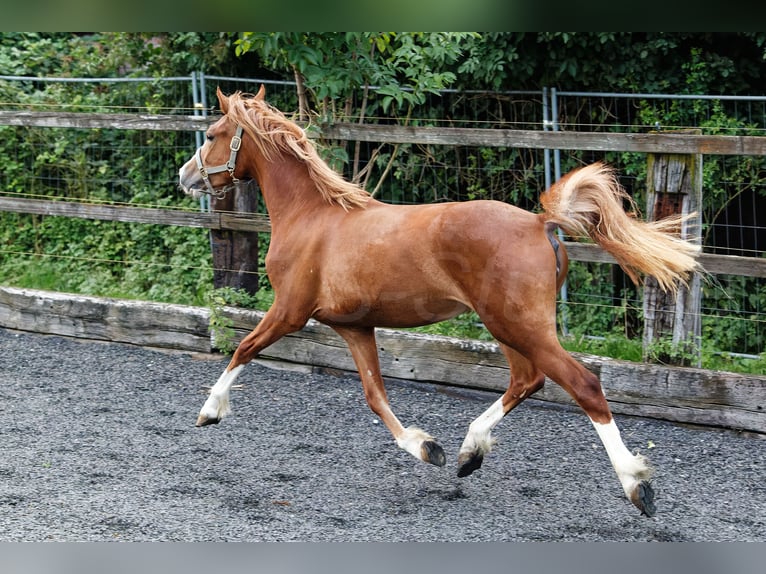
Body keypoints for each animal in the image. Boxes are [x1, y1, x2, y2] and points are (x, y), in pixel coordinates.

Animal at [178, 86, 704, 516]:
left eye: (212, 134)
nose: (186, 176)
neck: (312, 217)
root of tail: (541, 223)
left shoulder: (289, 310)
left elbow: (243, 348)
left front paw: (209, 411)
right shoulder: (353, 326)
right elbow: (375, 395)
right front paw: (426, 447)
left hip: (516, 325)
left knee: (583, 385)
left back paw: (636, 485)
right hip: (509, 326)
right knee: (527, 380)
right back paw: (470, 452)